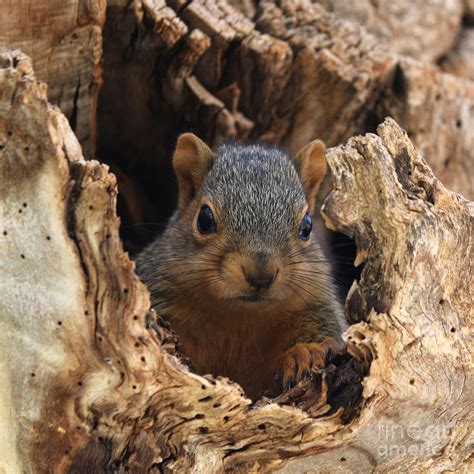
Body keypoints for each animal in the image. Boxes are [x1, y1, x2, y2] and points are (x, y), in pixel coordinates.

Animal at [135, 134, 346, 400]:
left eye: (307, 226)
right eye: (204, 219)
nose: (261, 276)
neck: (239, 316)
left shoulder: (315, 301)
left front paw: (305, 352)